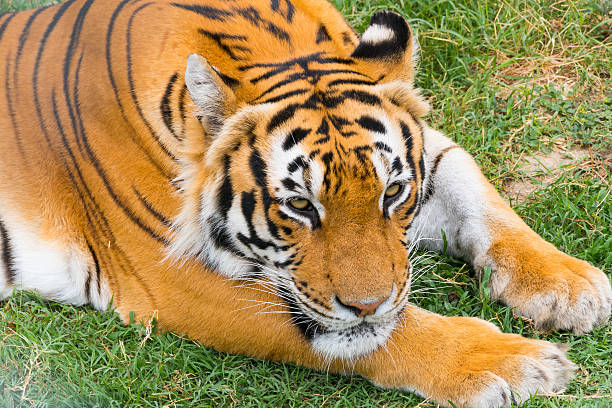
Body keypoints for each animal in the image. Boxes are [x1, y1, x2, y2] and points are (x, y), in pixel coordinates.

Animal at [0, 0, 608, 406]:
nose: (367, 305)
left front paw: (567, 284)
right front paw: (514, 365)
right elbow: (387, 329)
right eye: (299, 206)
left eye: (392, 192)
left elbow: (477, 193)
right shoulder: (175, 276)